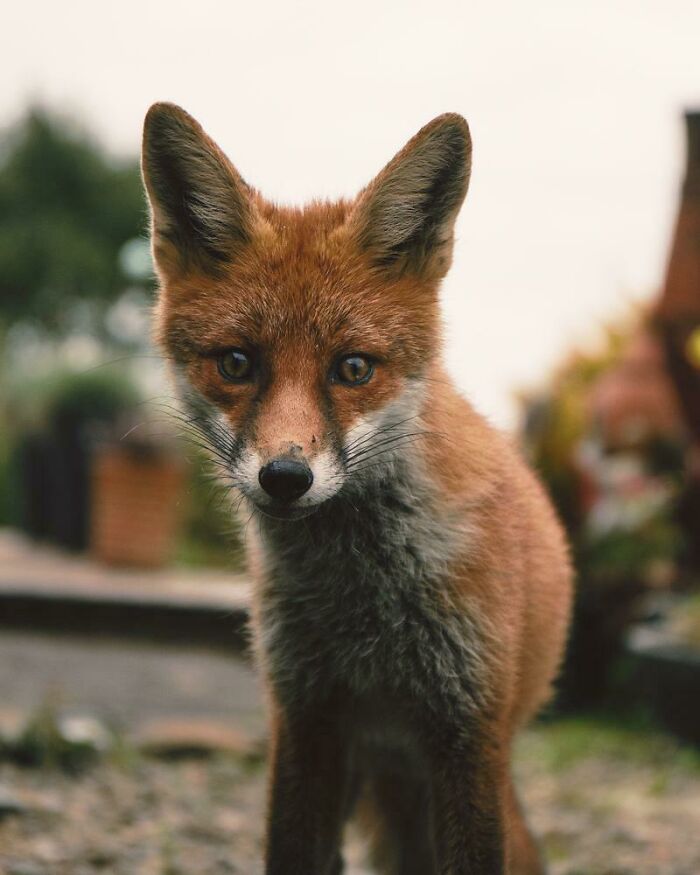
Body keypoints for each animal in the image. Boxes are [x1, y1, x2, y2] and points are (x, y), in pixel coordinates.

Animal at [141, 102, 573, 875]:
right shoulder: (307, 718)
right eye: (237, 362)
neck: (363, 607)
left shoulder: (469, 729)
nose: (285, 477)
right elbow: (293, 851)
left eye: (352, 368)